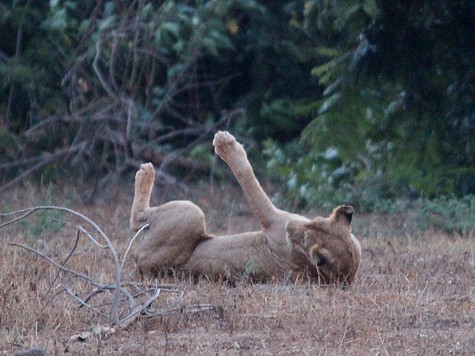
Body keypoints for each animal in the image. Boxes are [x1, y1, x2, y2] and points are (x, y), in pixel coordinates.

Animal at [130, 130, 360, 284]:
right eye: (315, 222)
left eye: (304, 239)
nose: (290, 226)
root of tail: (138, 267)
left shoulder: (272, 221)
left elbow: (249, 180)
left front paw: (225, 143)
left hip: (191, 214)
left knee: (137, 221)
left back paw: (146, 172)